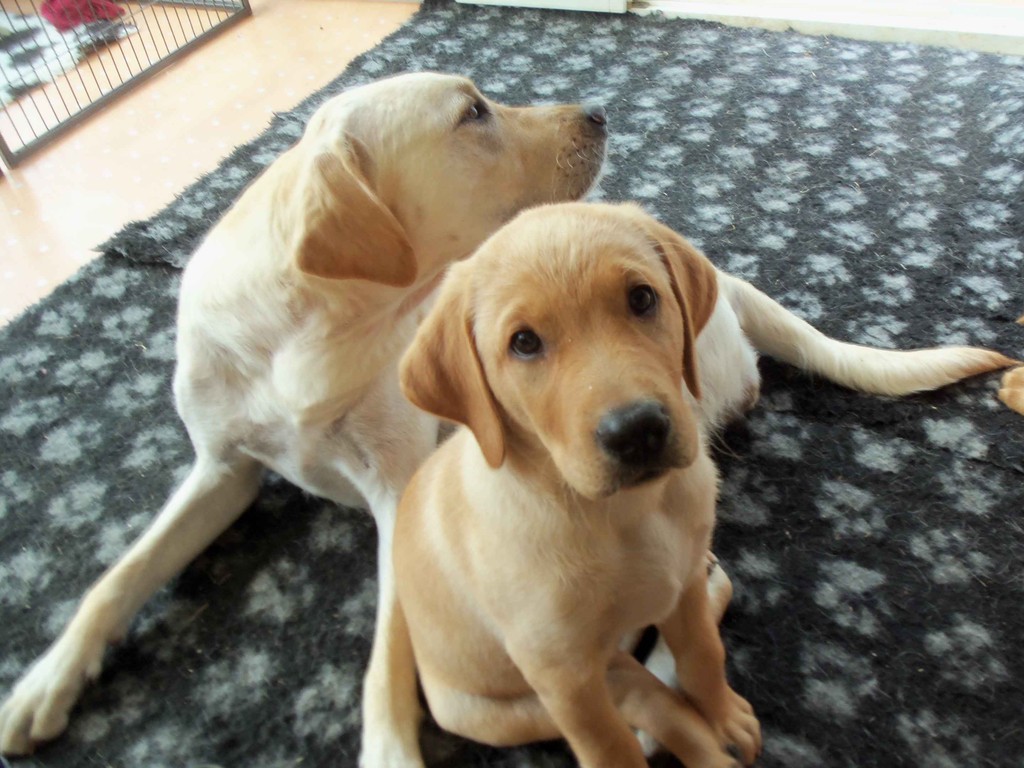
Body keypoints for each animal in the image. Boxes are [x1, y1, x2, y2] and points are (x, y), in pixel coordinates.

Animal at [0, 70, 606, 757]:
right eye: (473, 112)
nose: (599, 111)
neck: (308, 335)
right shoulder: (222, 469)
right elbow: (119, 576)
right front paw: (48, 680)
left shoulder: (396, 494)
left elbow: (386, 659)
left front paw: (389, 749)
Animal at [370, 201, 1015, 765]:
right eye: (523, 342)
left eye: (641, 298)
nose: (637, 431)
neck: (624, 514)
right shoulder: (563, 677)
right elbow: (607, 745)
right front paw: (693, 730)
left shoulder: (677, 586)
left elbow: (704, 654)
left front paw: (724, 712)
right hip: (495, 709)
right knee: (644, 706)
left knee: (657, 687)